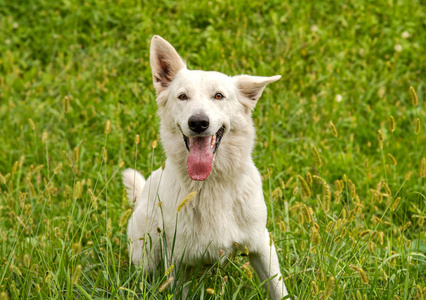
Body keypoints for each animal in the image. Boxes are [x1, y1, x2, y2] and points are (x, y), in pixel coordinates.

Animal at [124, 36, 290, 298]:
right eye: (182, 96)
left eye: (219, 96)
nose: (199, 122)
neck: (210, 184)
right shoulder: (177, 261)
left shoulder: (262, 246)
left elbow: (278, 288)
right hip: (146, 253)